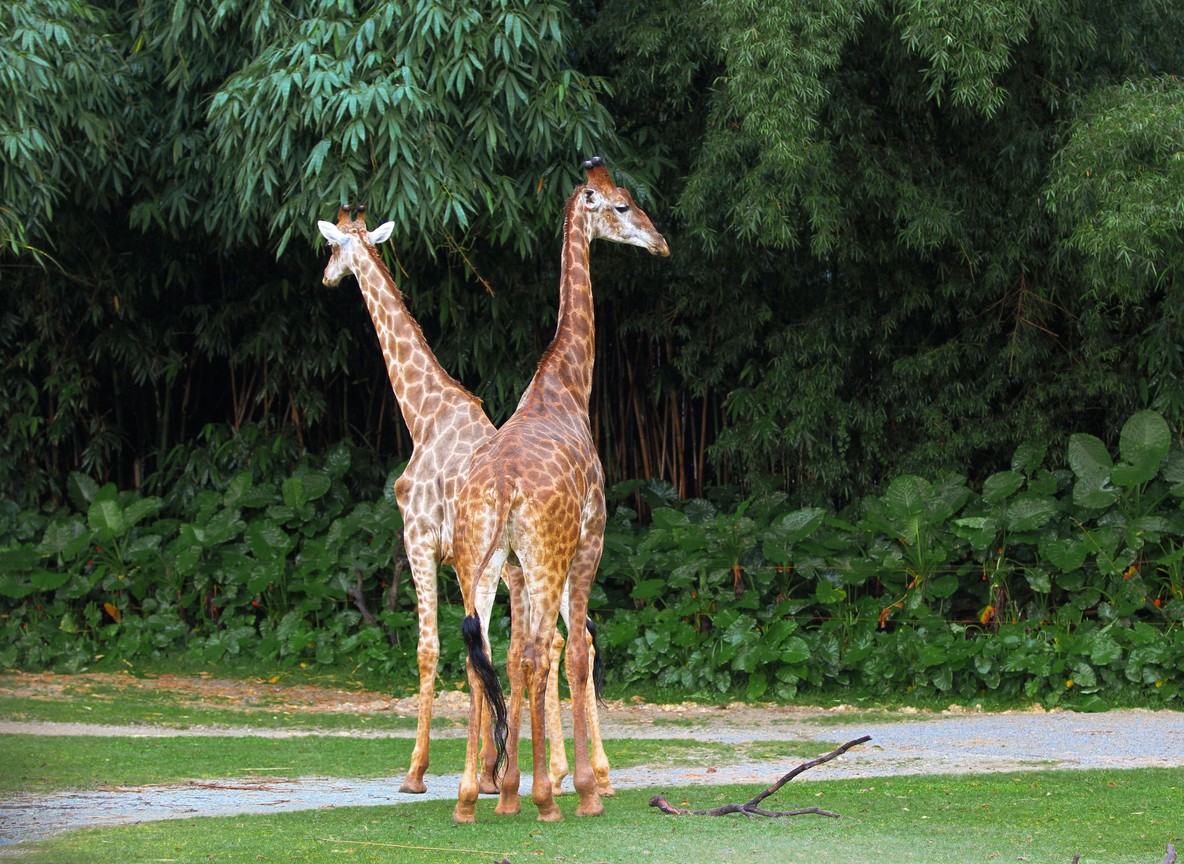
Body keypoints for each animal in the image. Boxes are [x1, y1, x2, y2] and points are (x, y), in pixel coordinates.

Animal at [316, 205, 611, 797]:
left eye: (333, 247)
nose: (328, 277)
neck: (424, 415)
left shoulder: (423, 540)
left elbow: (434, 649)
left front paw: (419, 772)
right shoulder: (468, 560)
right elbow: (484, 651)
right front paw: (492, 771)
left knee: (549, 643)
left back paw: (556, 772)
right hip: (530, 563)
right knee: (563, 639)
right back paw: (571, 771)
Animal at [452, 157, 669, 823]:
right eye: (622, 205)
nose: (660, 241)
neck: (566, 388)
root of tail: (498, 488)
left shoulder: (520, 567)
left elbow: (525, 652)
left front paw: (513, 785)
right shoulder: (590, 539)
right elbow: (570, 651)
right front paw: (584, 788)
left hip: (478, 558)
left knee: (480, 651)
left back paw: (472, 798)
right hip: (547, 554)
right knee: (532, 652)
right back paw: (547, 799)